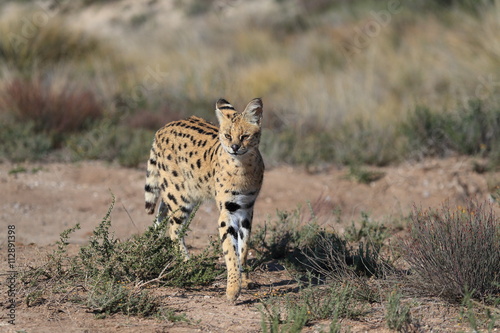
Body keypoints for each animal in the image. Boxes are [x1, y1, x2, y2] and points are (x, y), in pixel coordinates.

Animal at [144, 98, 264, 300]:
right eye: (227, 135)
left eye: (245, 136)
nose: (234, 148)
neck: (242, 168)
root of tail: (163, 128)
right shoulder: (228, 211)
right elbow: (230, 251)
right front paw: (233, 288)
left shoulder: (247, 209)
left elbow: (244, 247)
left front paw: (245, 278)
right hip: (179, 196)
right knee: (173, 229)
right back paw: (187, 265)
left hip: (175, 194)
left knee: (161, 212)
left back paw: (154, 245)